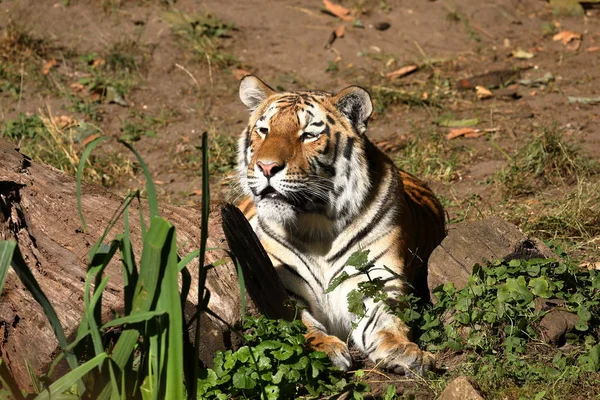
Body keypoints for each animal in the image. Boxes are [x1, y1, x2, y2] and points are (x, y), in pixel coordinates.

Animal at [234, 75, 446, 376]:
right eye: (264, 131)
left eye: (308, 135)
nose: (265, 167)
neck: (317, 227)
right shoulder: (280, 286)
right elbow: (299, 322)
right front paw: (325, 349)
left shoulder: (373, 285)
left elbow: (387, 323)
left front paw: (406, 351)